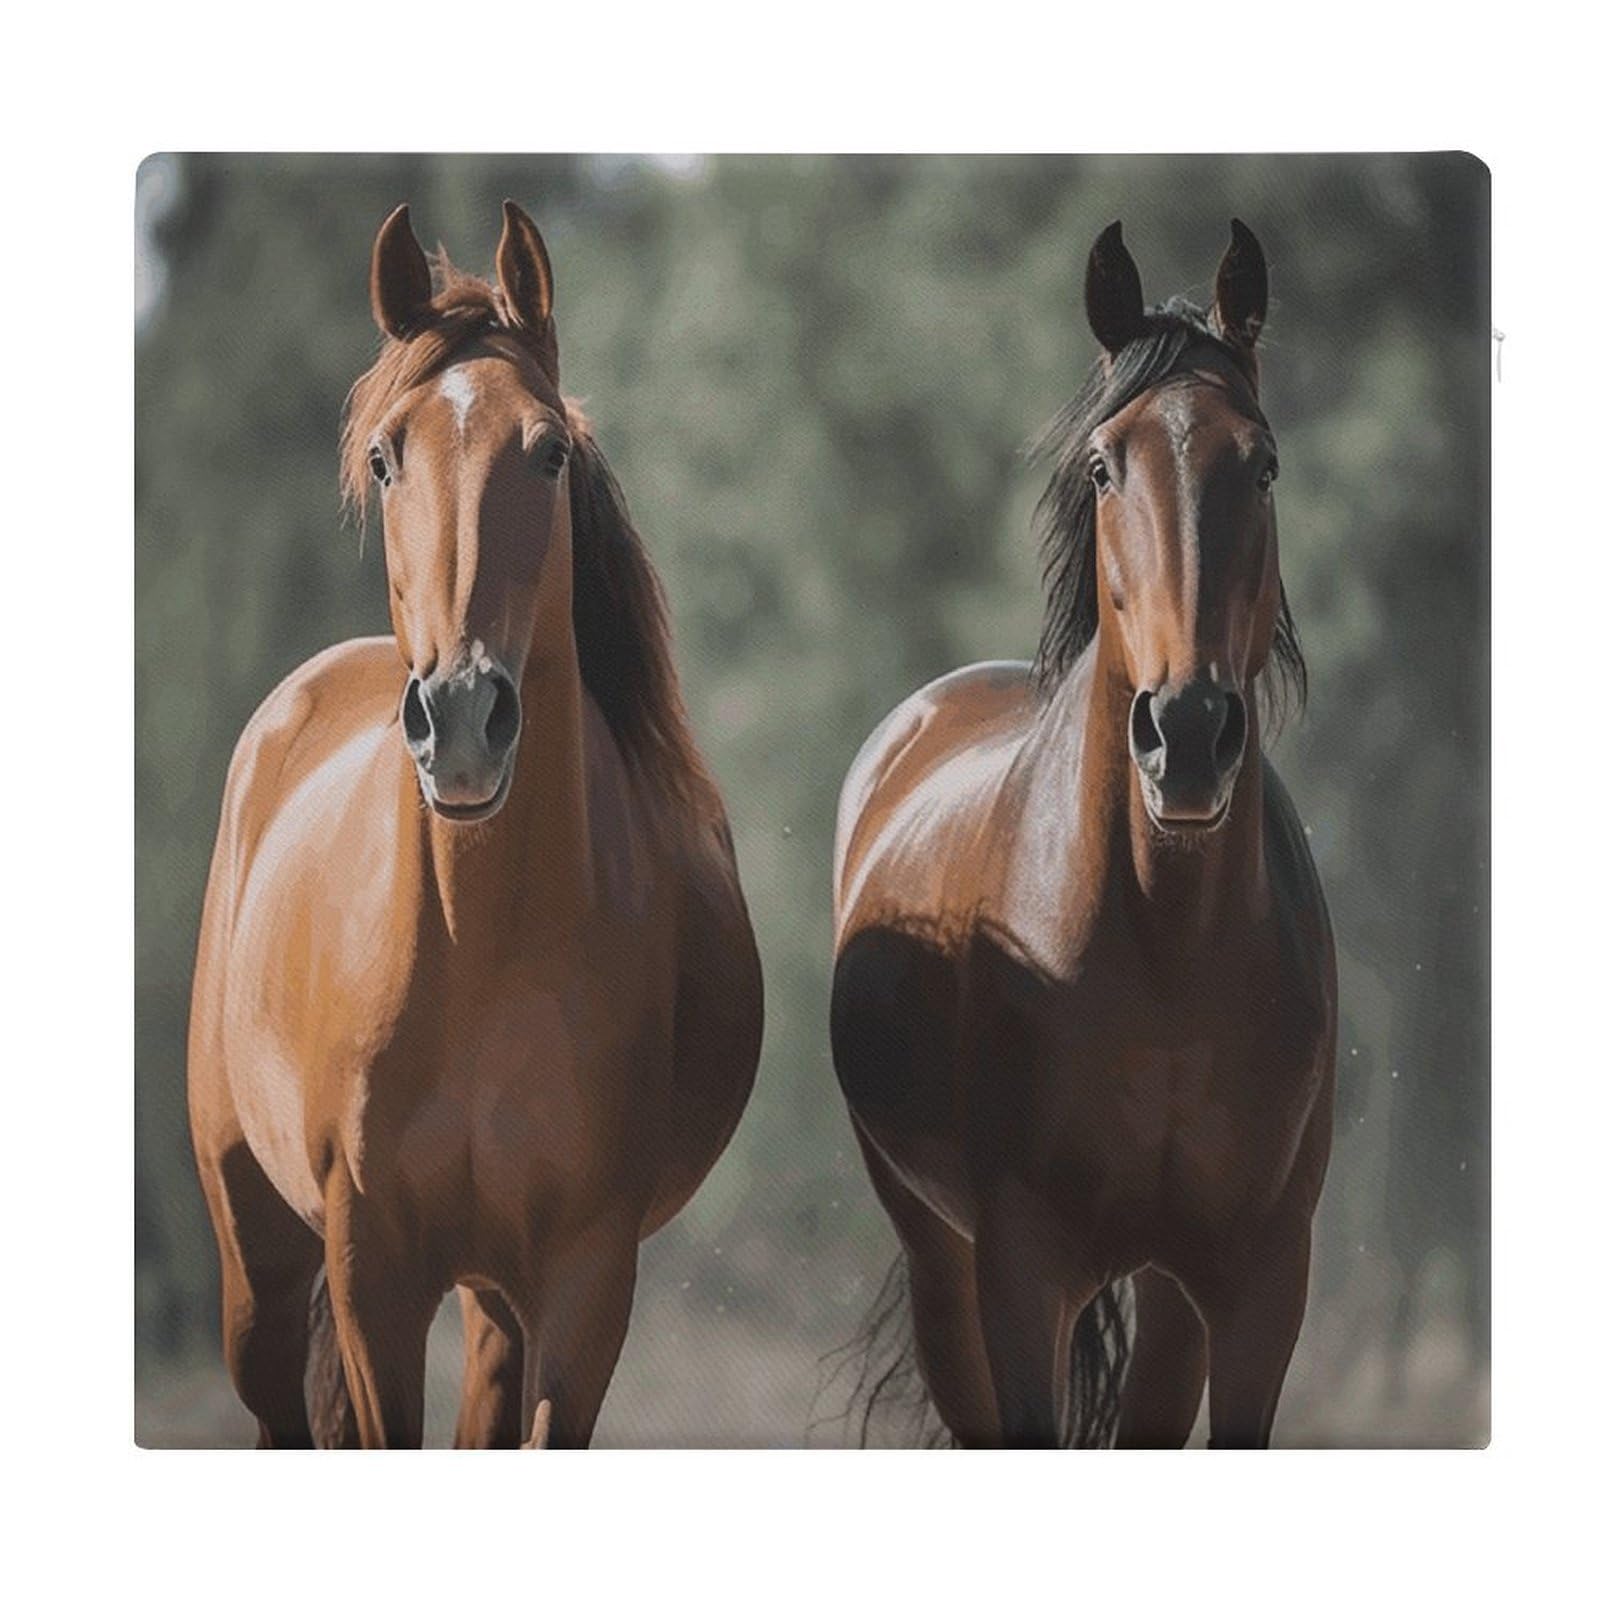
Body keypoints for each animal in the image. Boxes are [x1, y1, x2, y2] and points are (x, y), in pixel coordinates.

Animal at [187, 201, 763, 1447]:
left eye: (547, 450)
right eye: (384, 456)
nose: (459, 715)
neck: (475, 946)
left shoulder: (582, 1279)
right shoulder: (371, 1270)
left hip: (493, 1296)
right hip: (259, 1256)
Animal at [829, 220, 1336, 1448]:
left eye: (1262, 463)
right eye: (1107, 466)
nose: (1187, 732)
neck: (1167, 947)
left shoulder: (1251, 1284)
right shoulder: (1023, 1273)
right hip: (940, 1261)